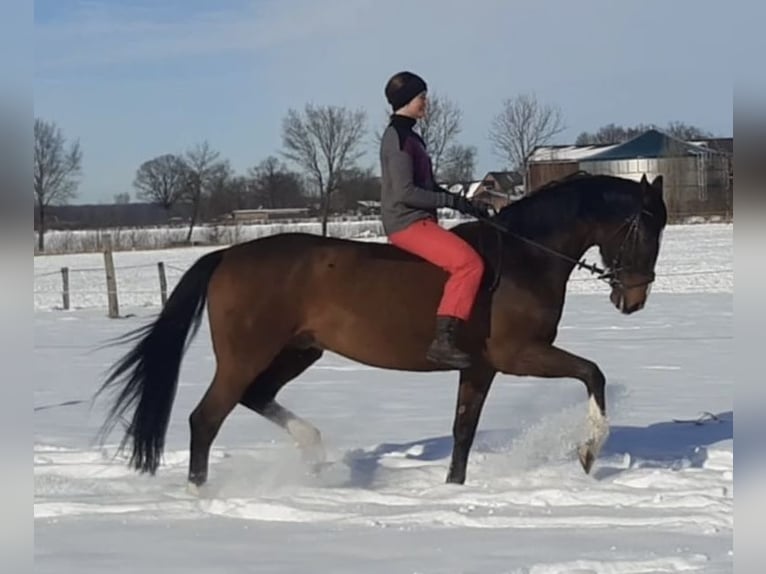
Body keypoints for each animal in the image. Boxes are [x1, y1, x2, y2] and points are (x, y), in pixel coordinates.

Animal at [96, 172, 668, 490]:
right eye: (643, 227)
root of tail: (226, 256)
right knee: (206, 418)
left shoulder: (481, 368)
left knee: (255, 398)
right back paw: (202, 495)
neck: (525, 255)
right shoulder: (519, 354)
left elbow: (463, 431)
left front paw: (453, 489)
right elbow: (593, 373)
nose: (634, 299)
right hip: (246, 355)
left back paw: (314, 454)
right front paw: (589, 452)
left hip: (297, 351)